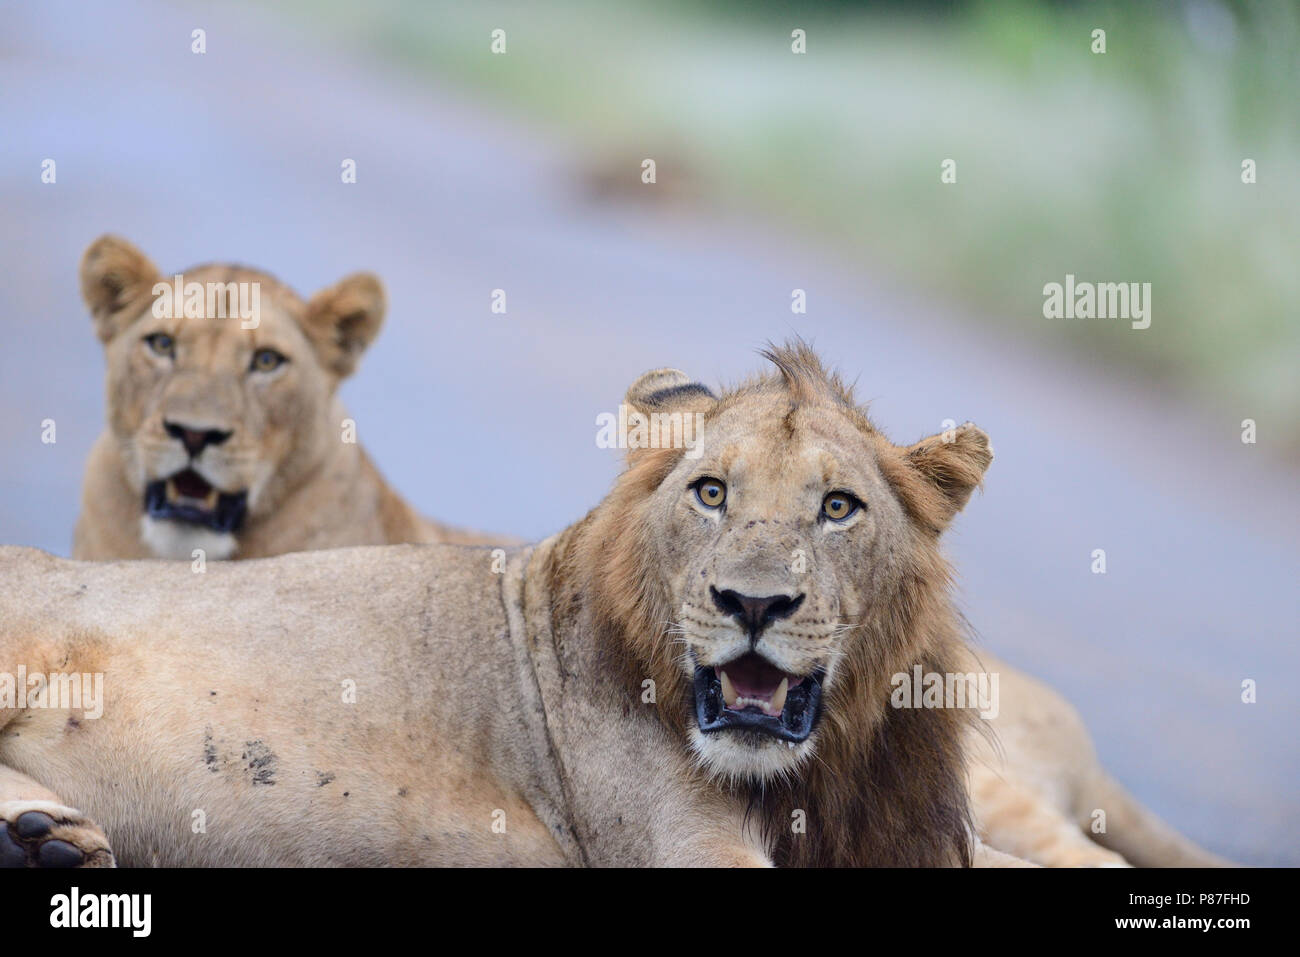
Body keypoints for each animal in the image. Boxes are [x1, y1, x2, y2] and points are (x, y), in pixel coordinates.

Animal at [0, 345, 1216, 868]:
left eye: (838, 508)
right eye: (711, 492)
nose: (753, 603)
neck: (821, 768)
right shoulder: (678, 846)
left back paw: (48, 838)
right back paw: (46, 840)